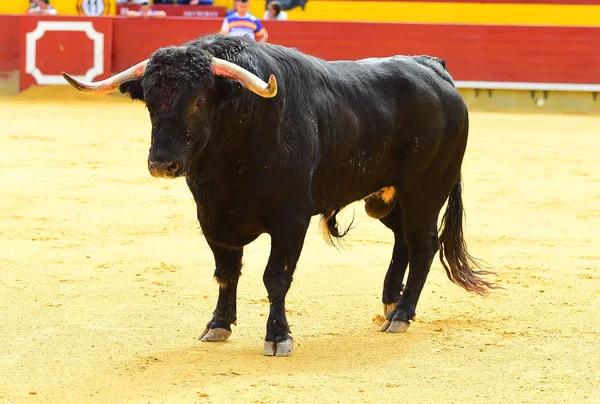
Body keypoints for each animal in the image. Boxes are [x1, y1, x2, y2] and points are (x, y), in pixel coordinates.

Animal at [64, 35, 496, 356]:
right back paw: (390, 303)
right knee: (402, 239)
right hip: (386, 197)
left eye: (198, 101)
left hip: (426, 189)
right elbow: (226, 273)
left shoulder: (291, 220)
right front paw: (218, 325)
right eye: (151, 104)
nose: (162, 163)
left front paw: (278, 336)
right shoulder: (212, 217)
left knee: (424, 244)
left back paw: (402, 315)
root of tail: (432, 68)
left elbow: (275, 277)